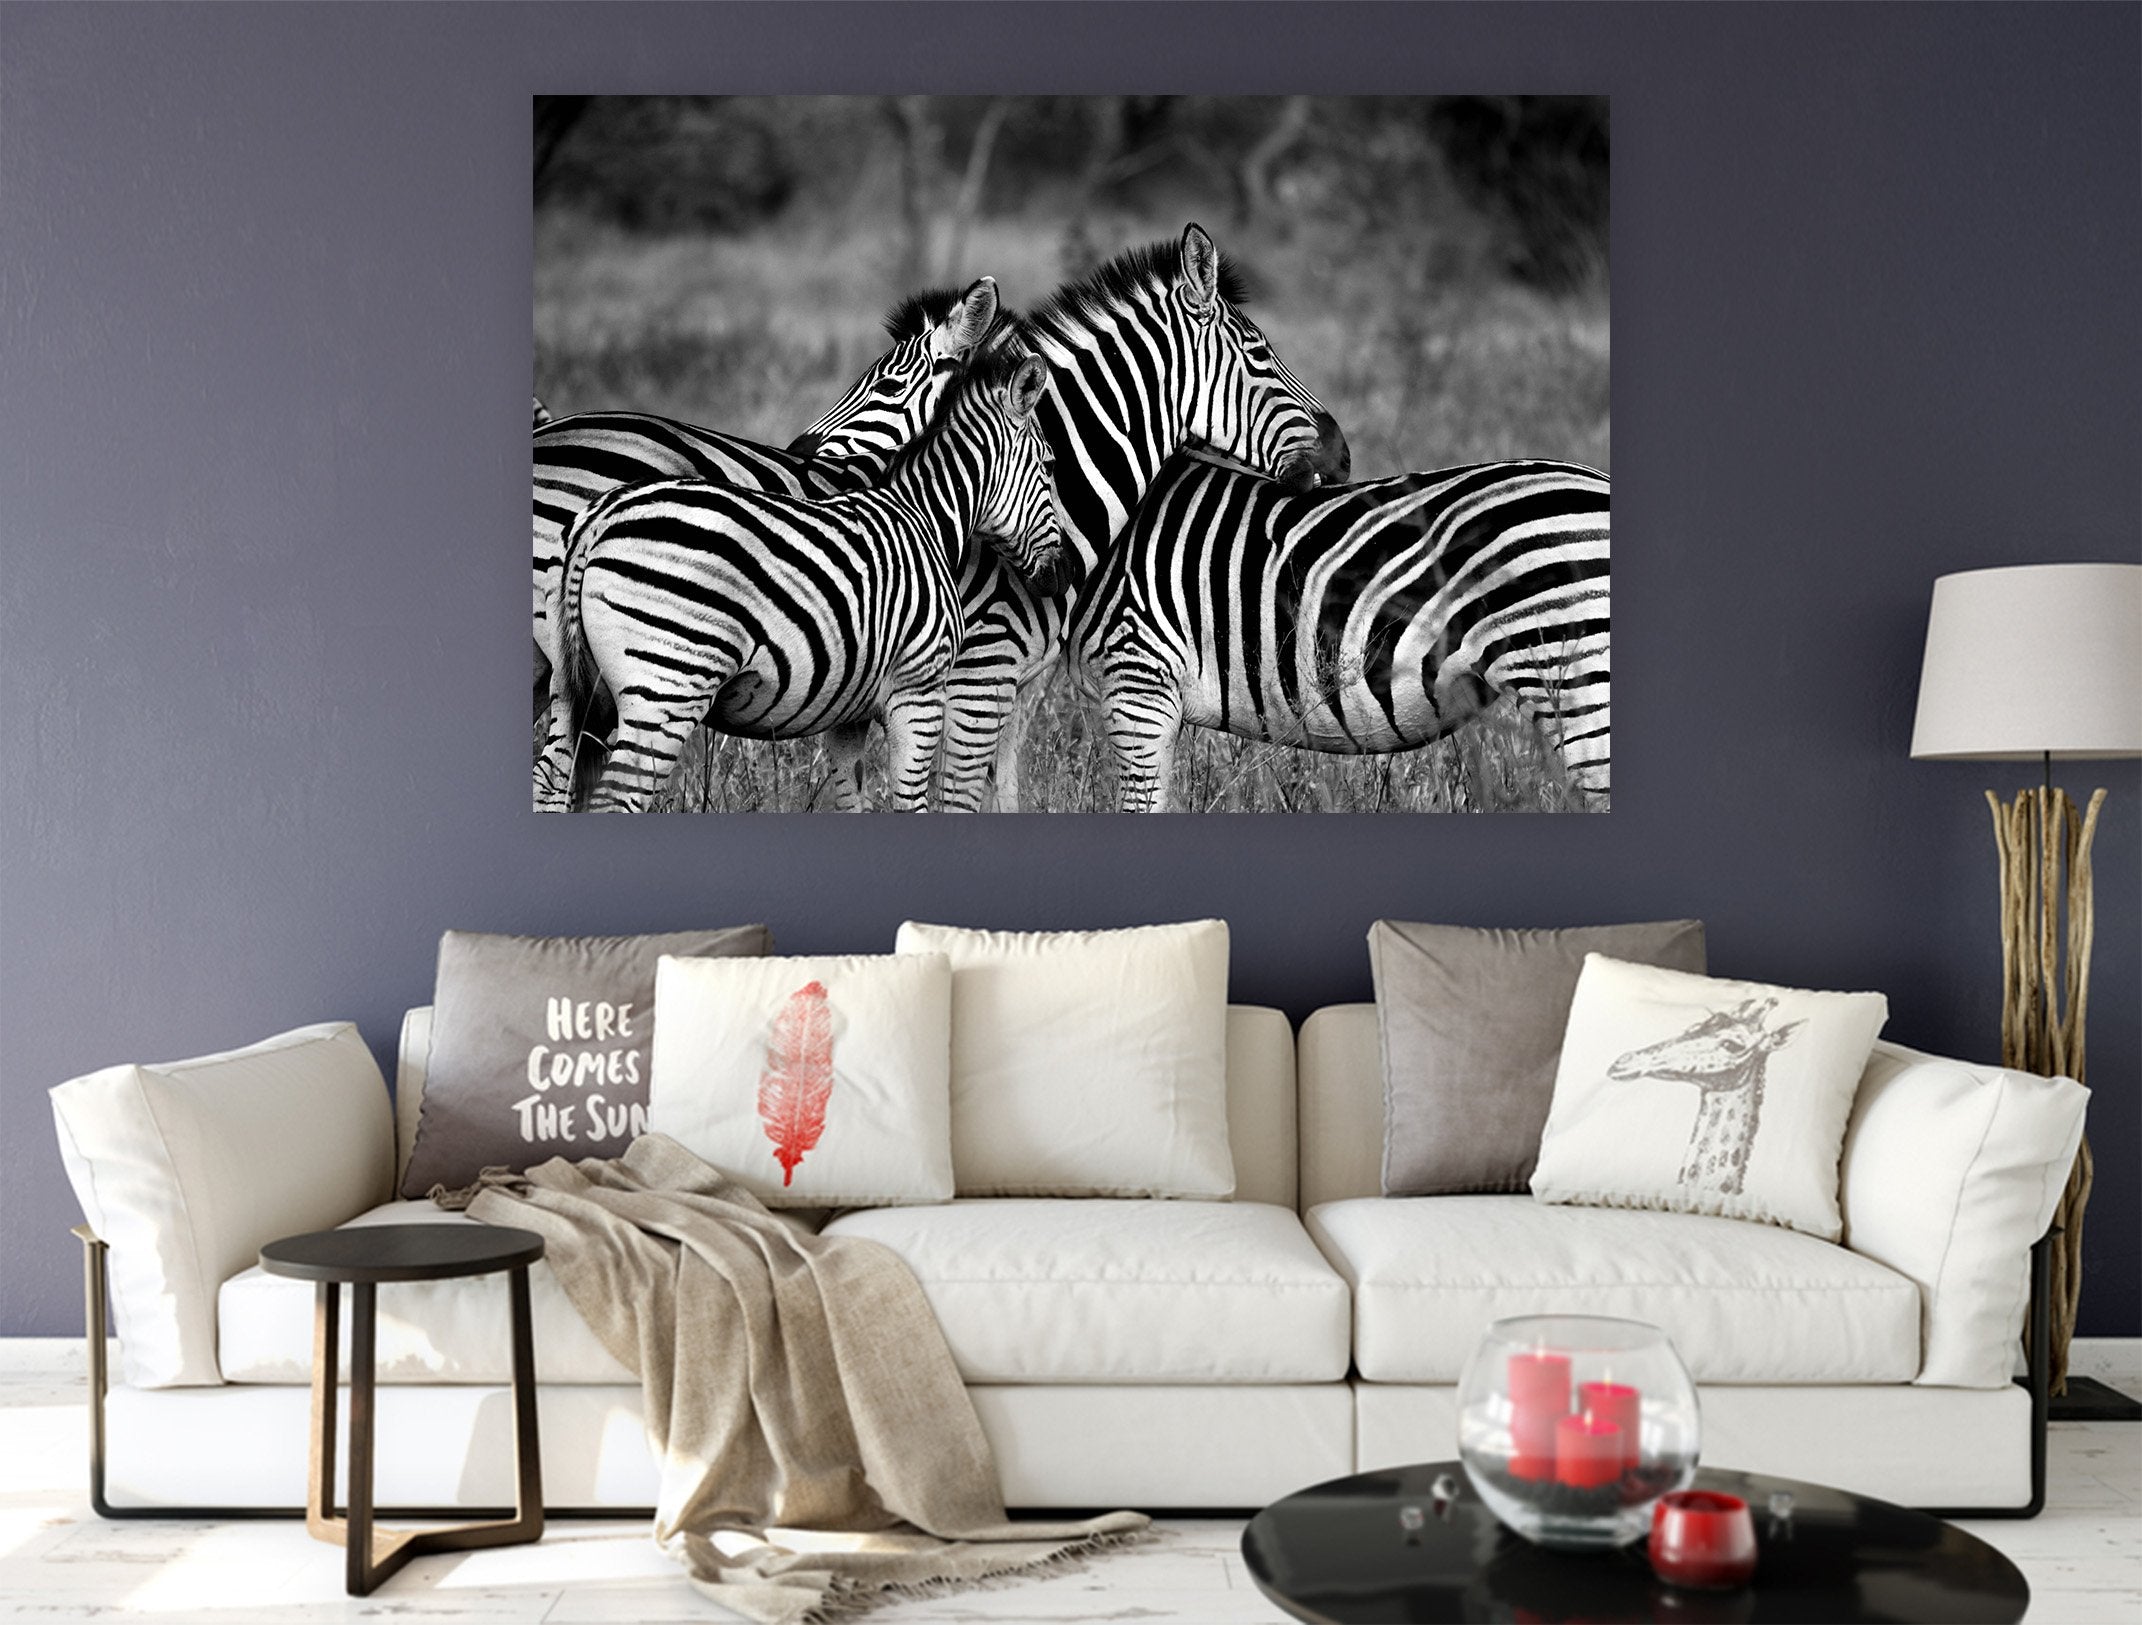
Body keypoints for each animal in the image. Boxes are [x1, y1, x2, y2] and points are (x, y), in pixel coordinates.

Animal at [543, 342, 1061, 814]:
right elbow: (910, 802)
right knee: (615, 798)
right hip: (666, 688)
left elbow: (854, 797)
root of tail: (600, 519)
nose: (1062, 576)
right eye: (1050, 465)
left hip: (572, 689)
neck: (924, 517)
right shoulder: (918, 689)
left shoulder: (849, 710)